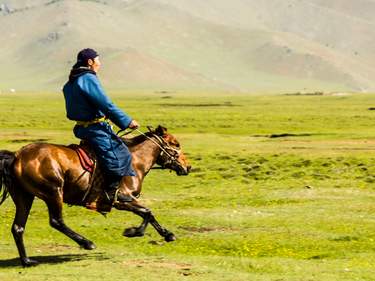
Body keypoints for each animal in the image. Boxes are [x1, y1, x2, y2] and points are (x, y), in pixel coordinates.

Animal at [0, 125, 191, 266]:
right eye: (175, 144)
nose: (187, 167)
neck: (135, 161)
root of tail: (17, 156)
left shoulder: (126, 201)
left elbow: (147, 213)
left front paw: (165, 234)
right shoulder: (122, 199)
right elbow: (147, 212)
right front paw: (134, 232)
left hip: (25, 197)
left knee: (18, 227)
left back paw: (27, 261)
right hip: (53, 193)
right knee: (56, 221)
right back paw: (87, 243)